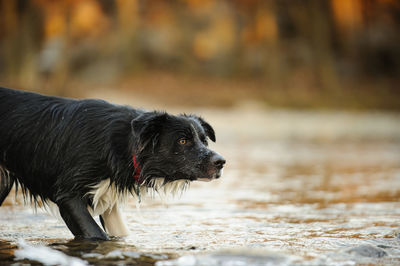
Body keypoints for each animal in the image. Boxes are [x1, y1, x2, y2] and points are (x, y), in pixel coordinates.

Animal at [0, 88, 225, 241]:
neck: (124, 146)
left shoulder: (109, 200)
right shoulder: (68, 195)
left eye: (204, 140)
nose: (221, 162)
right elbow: (97, 235)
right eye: (183, 141)